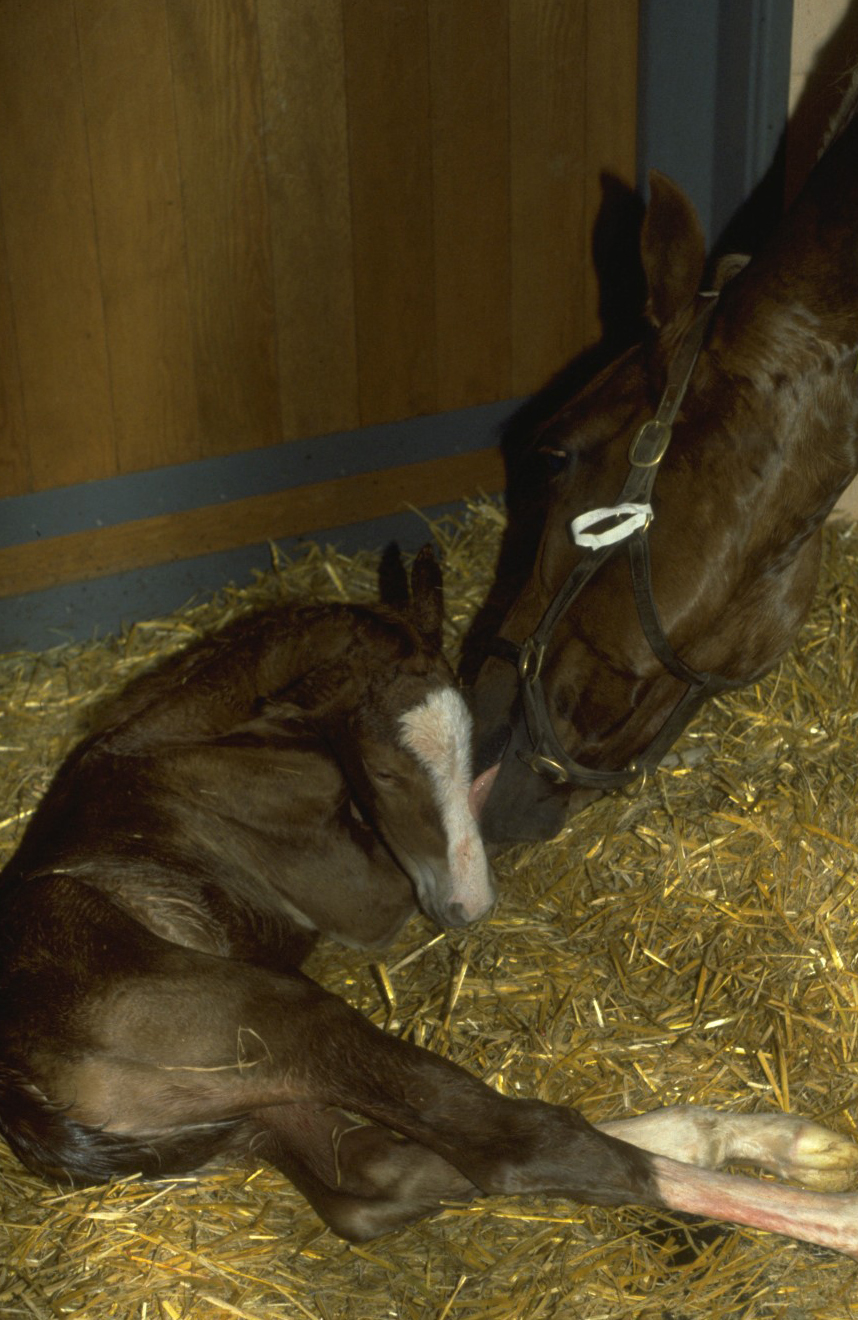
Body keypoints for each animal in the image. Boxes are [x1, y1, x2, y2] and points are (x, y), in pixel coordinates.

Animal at [2, 547, 858, 1255]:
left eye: (468, 734)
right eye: (383, 771)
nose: (467, 910)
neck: (192, 740)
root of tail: (27, 1095)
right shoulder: (361, 902)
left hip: (253, 1109)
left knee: (382, 1179)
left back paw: (761, 1139)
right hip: (278, 1016)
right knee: (519, 1146)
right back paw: (829, 1208)